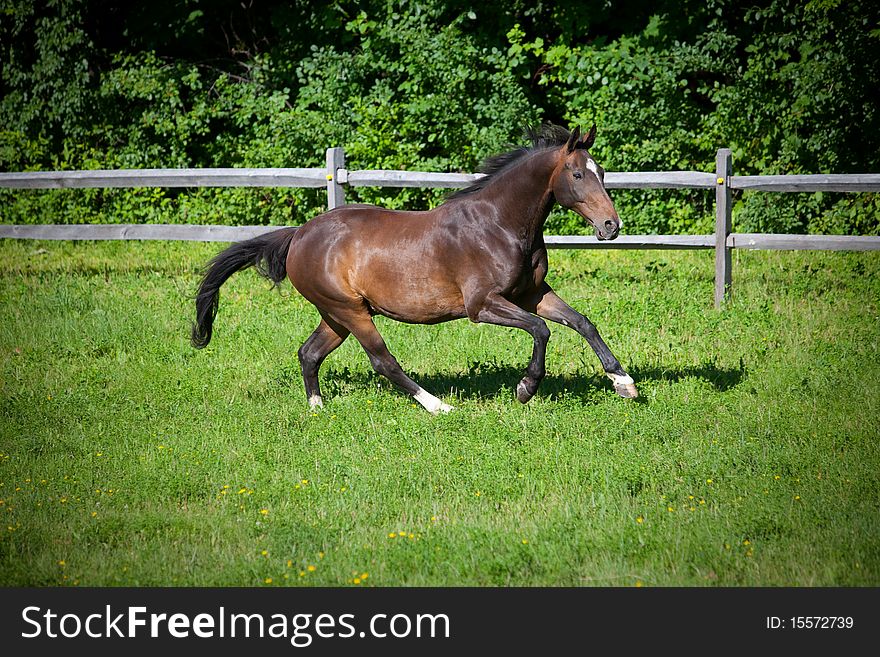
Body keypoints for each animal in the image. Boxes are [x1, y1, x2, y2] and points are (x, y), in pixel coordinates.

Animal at [192, 123, 636, 412]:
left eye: (601, 172)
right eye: (577, 174)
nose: (611, 226)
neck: (499, 223)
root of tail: (299, 234)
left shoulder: (531, 293)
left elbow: (581, 322)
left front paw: (624, 383)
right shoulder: (482, 305)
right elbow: (541, 330)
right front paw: (526, 387)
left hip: (337, 314)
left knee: (309, 353)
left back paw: (318, 408)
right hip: (349, 311)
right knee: (382, 361)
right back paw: (438, 406)